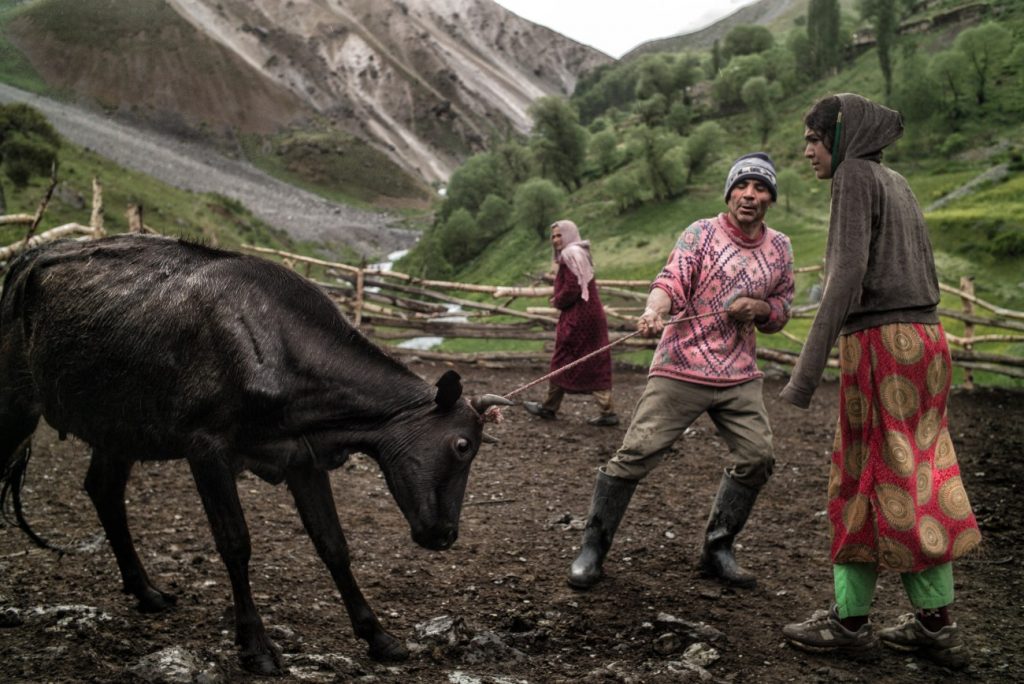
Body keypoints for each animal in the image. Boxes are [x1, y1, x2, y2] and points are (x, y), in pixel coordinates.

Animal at [0, 233, 512, 671]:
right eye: (462, 444)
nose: (445, 534)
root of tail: (25, 258)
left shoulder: (303, 458)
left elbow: (334, 545)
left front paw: (378, 637)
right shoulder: (206, 448)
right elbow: (235, 544)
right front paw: (256, 646)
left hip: (119, 426)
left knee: (103, 490)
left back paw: (147, 592)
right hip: (18, 403)